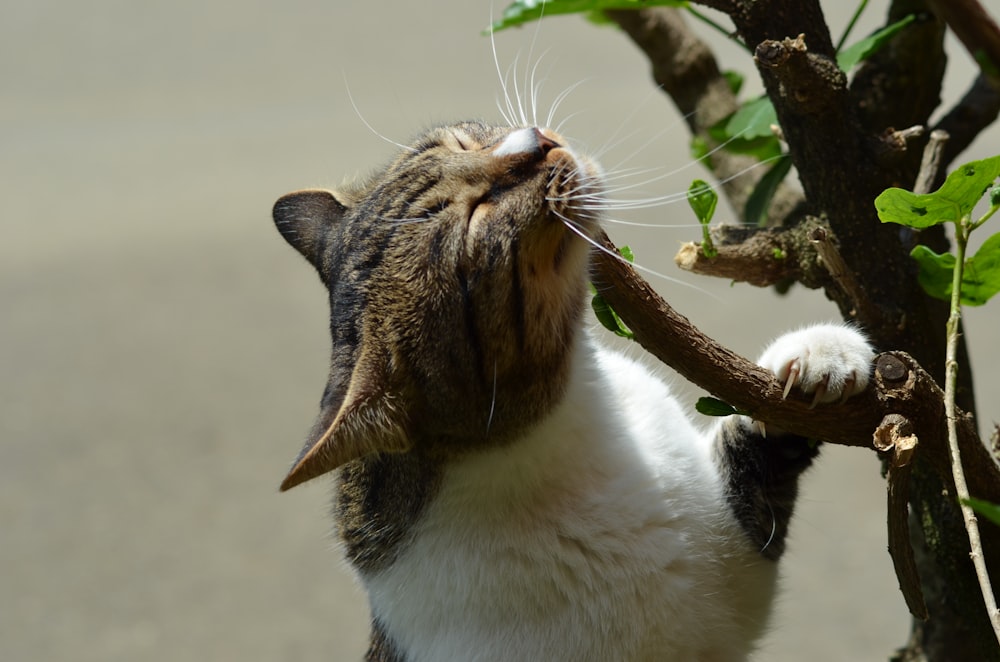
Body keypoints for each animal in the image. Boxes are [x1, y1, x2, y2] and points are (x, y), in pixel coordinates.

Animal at [274, 122, 876, 660]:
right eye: (474, 219)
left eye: (458, 143)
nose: (535, 143)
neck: (580, 403)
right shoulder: (704, 606)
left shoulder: (727, 560)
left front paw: (821, 356)